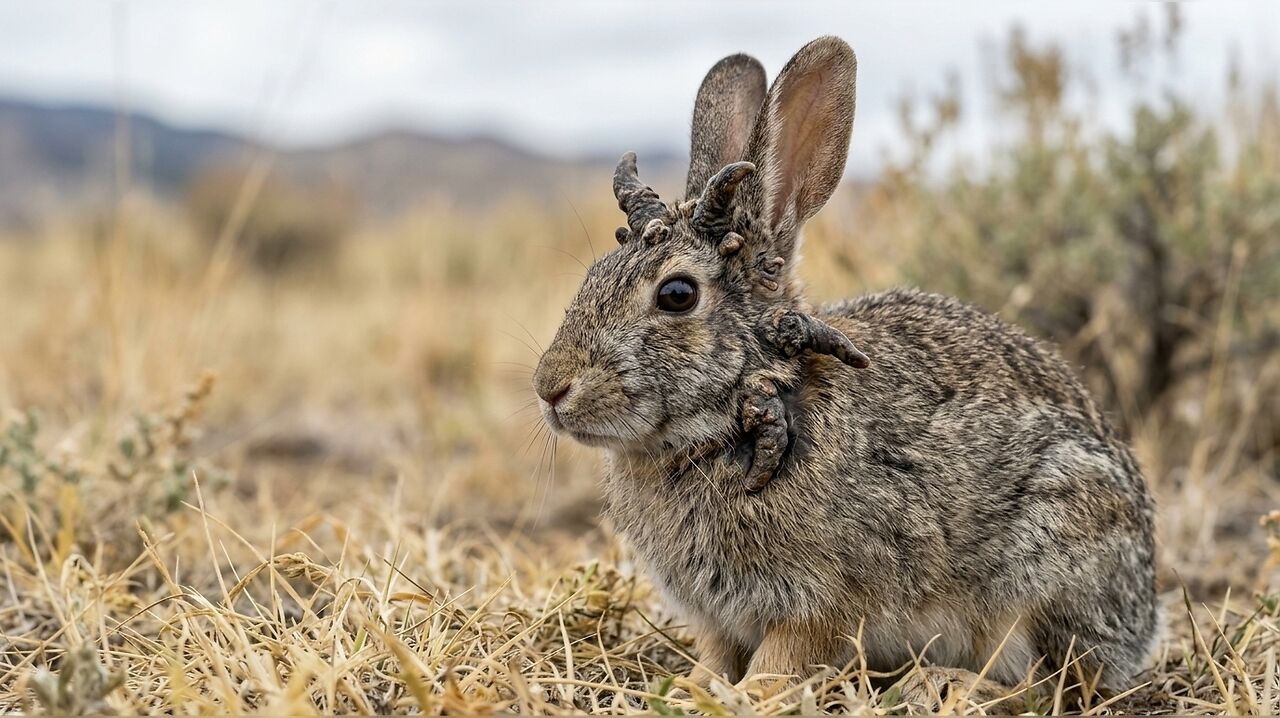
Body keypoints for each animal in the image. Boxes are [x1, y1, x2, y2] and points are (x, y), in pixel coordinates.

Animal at [532, 36, 1160, 703]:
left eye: (677, 295)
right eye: (594, 272)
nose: (550, 387)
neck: (738, 418)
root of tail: (1143, 620)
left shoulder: (820, 604)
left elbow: (781, 662)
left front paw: (745, 698)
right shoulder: (718, 618)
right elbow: (715, 656)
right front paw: (689, 690)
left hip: (1040, 568)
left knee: (1044, 685)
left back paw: (941, 684)